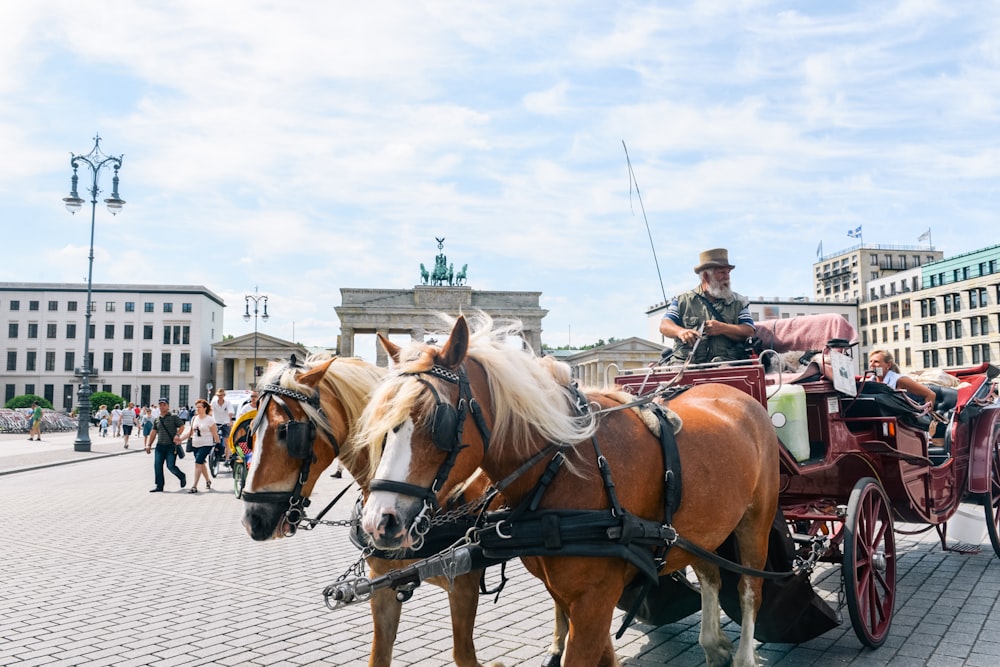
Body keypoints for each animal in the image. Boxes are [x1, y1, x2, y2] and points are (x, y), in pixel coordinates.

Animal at [241, 354, 504, 667]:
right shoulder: (382, 584)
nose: (253, 519)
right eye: (251, 432)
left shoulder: (464, 582)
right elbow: (379, 655)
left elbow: (463, 653)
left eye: (287, 433)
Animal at [356, 314, 776, 667]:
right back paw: (712, 644)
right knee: (710, 574)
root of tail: (728, 389)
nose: (379, 522)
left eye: (437, 420)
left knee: (750, 588)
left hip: (756, 520)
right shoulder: (566, 594)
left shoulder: (594, 599)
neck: (563, 467)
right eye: (379, 420)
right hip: (704, 528)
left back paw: (743, 656)